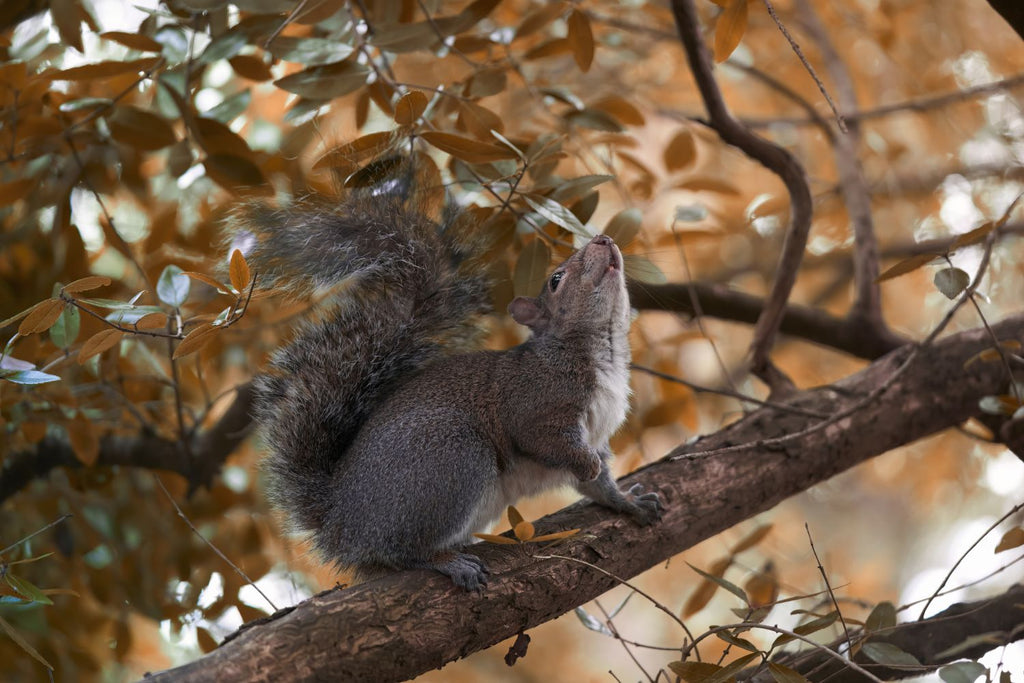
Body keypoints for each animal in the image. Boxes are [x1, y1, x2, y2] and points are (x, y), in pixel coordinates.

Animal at [237, 172, 663, 591]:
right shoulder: (534, 400)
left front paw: (628, 502)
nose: (603, 239)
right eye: (556, 279)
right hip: (450, 457)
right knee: (402, 550)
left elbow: (600, 485)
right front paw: (585, 465)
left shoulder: (599, 431)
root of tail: (340, 522)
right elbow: (545, 440)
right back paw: (446, 561)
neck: (604, 350)